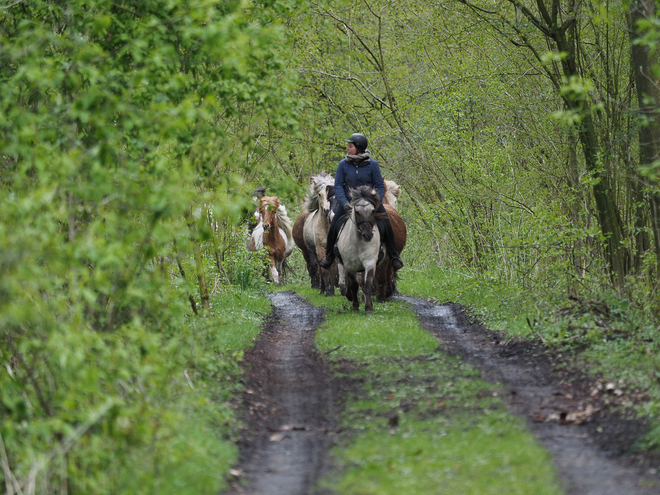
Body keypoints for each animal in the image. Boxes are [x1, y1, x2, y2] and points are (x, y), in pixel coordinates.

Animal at [336, 186, 386, 314]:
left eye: (372, 211)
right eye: (357, 212)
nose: (368, 235)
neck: (358, 242)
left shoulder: (370, 262)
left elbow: (367, 284)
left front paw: (368, 308)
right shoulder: (349, 265)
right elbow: (354, 285)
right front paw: (355, 306)